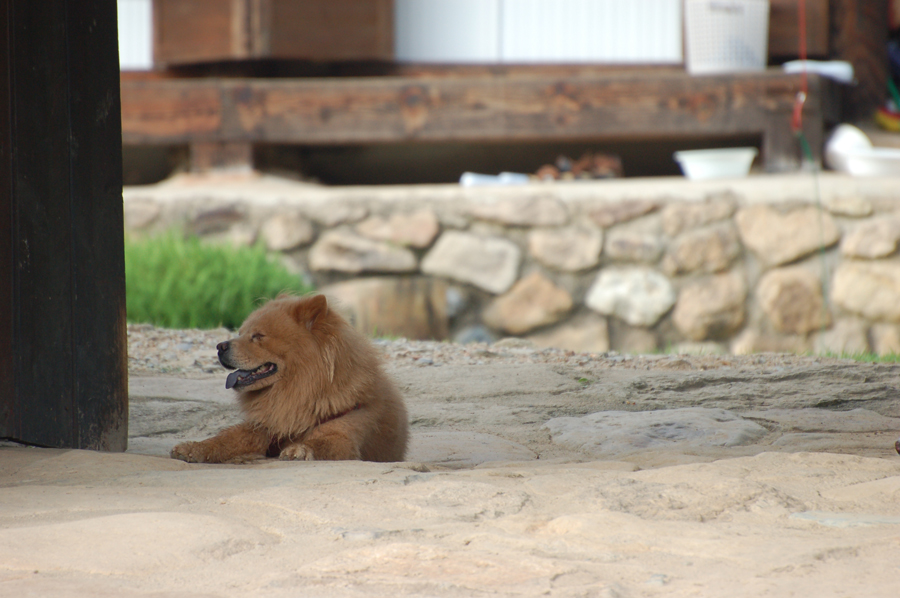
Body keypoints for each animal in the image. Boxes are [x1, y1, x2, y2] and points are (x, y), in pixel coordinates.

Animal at [170, 296, 408, 464]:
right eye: (240, 333)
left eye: (258, 336)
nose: (220, 346)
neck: (296, 390)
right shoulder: (265, 428)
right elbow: (225, 438)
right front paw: (193, 448)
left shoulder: (345, 432)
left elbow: (321, 441)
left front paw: (300, 449)